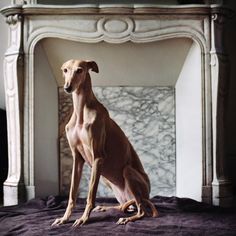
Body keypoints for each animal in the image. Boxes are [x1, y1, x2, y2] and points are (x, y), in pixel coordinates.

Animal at [52, 59, 158, 227]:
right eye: (65, 70)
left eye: (80, 70)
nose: (67, 87)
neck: (81, 112)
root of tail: (147, 195)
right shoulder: (77, 159)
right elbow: (72, 194)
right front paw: (64, 218)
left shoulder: (98, 158)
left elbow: (90, 195)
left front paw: (83, 218)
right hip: (106, 179)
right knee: (124, 206)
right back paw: (105, 207)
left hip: (127, 172)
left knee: (142, 210)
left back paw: (128, 218)